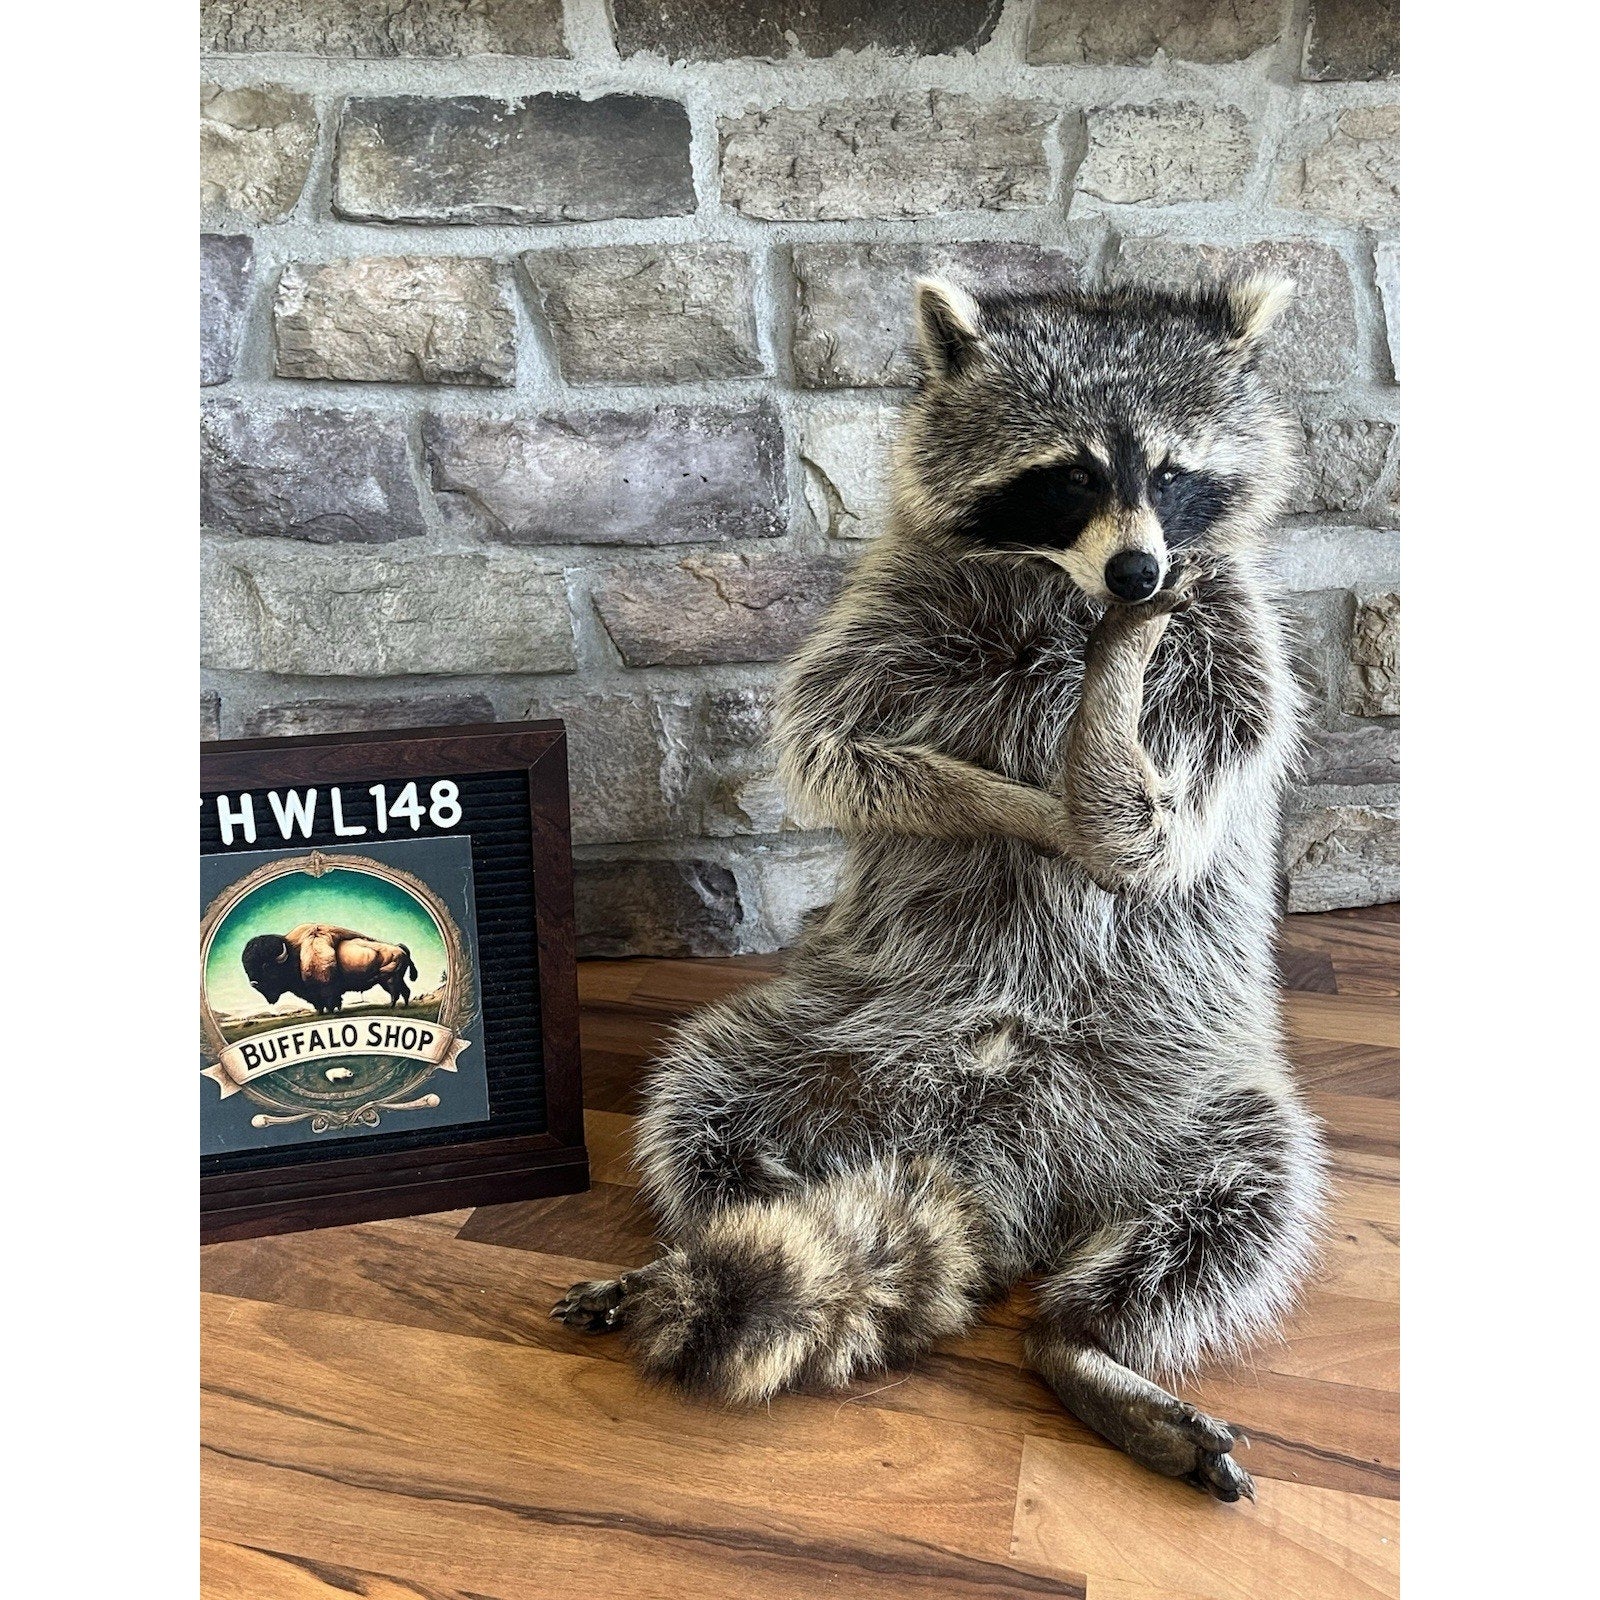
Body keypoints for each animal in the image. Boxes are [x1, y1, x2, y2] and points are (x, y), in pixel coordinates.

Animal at [554, 274, 1327, 1502]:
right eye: (1068, 477)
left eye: (1169, 474)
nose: (1138, 575)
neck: (1072, 599)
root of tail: (991, 1174)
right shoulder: (897, 602)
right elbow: (829, 745)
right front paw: (1018, 807)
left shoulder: (1237, 644)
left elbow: (1166, 831)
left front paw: (1102, 754)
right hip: (826, 1036)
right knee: (701, 1106)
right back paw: (696, 1238)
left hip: (1195, 1097)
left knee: (1246, 1197)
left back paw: (1083, 1338)